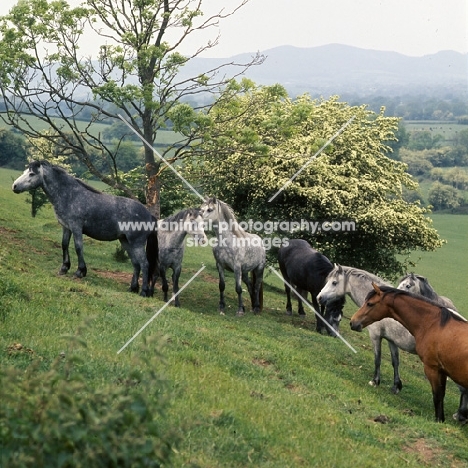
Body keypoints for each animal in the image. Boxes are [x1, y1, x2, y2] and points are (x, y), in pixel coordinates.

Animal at [11, 161, 158, 296]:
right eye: (25, 171)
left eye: (31, 174)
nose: (14, 186)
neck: (69, 195)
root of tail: (149, 215)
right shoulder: (66, 227)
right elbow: (64, 245)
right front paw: (64, 268)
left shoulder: (76, 227)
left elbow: (78, 247)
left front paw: (80, 271)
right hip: (125, 241)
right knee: (136, 263)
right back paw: (133, 288)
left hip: (136, 243)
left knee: (144, 264)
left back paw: (144, 291)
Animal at [352, 284, 468, 422]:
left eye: (370, 304)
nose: (353, 322)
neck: (433, 324)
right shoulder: (442, 371)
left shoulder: (432, 369)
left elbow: (437, 396)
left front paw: (438, 420)